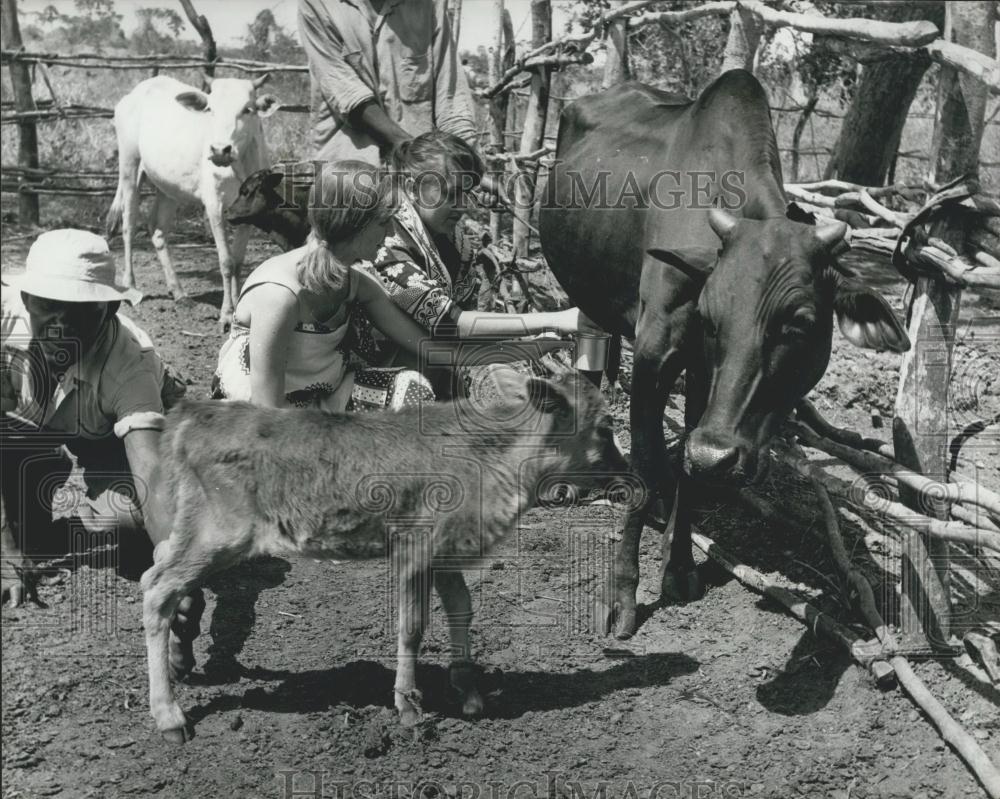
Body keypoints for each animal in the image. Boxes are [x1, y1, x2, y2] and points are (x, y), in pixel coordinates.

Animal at [107, 76, 280, 332]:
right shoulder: (214, 206)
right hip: (130, 167)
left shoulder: (248, 214)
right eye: (210, 109)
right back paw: (130, 286)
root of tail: (139, 90)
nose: (220, 149)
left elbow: (238, 262)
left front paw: (238, 310)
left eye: (247, 110)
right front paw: (226, 315)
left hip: (168, 187)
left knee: (157, 229)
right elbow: (226, 261)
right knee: (129, 225)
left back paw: (179, 292)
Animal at [143, 374, 624, 744]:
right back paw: (170, 716)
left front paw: (468, 691)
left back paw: (181, 658)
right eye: (605, 426)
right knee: (158, 590)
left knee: (158, 568)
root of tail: (194, 412)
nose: (627, 474)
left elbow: (462, 609)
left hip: (194, 529)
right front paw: (408, 706)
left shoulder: (445, 551)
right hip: (221, 534)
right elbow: (412, 627)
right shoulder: (415, 547)